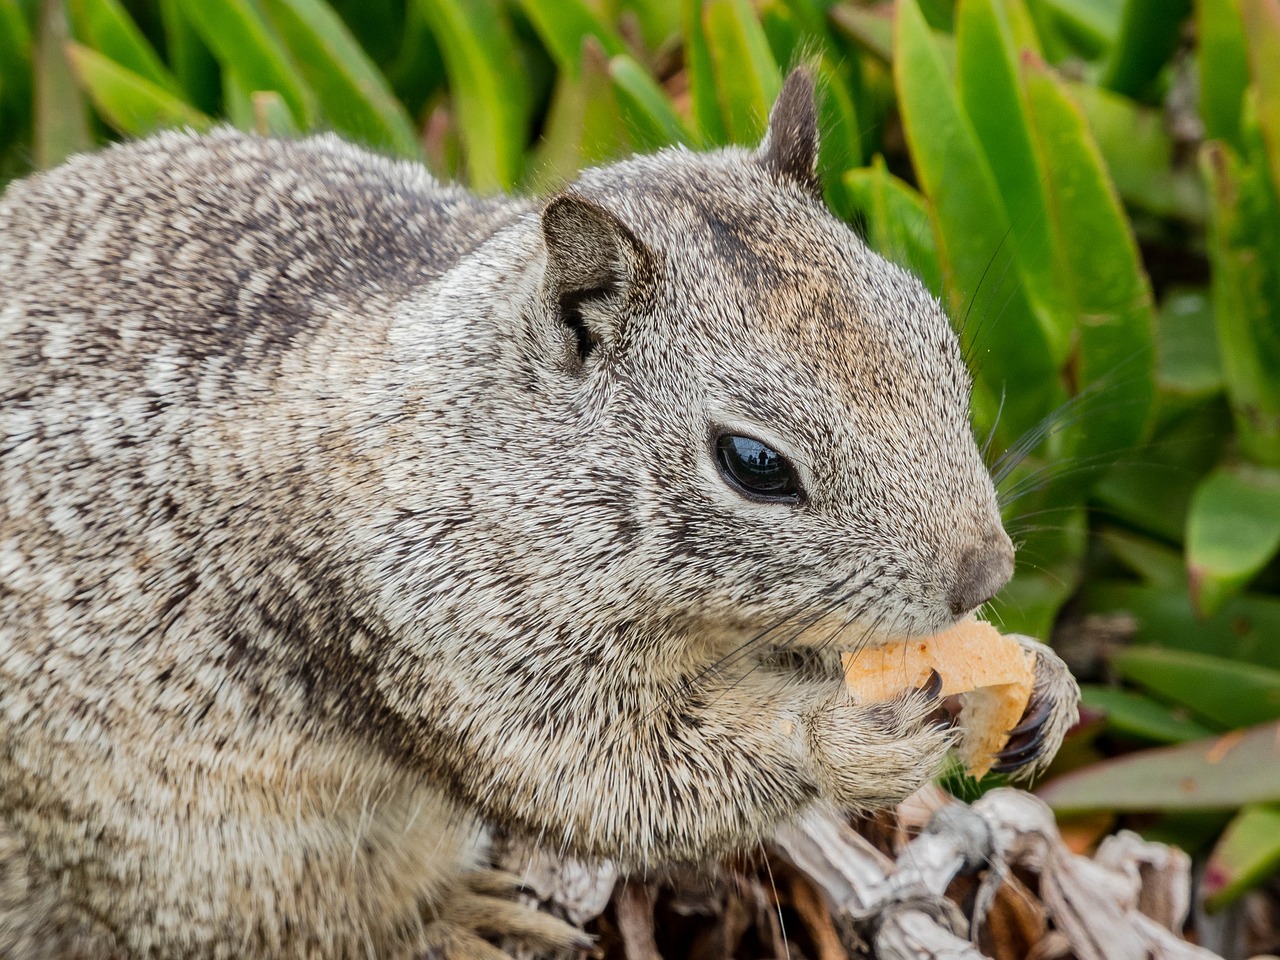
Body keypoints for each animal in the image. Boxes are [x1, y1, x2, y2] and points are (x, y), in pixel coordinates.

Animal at [0, 71, 1080, 957]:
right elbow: (617, 778)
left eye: (942, 346)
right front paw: (840, 737)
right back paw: (458, 922)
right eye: (753, 464)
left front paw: (1041, 681)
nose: (984, 573)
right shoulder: (442, 628)